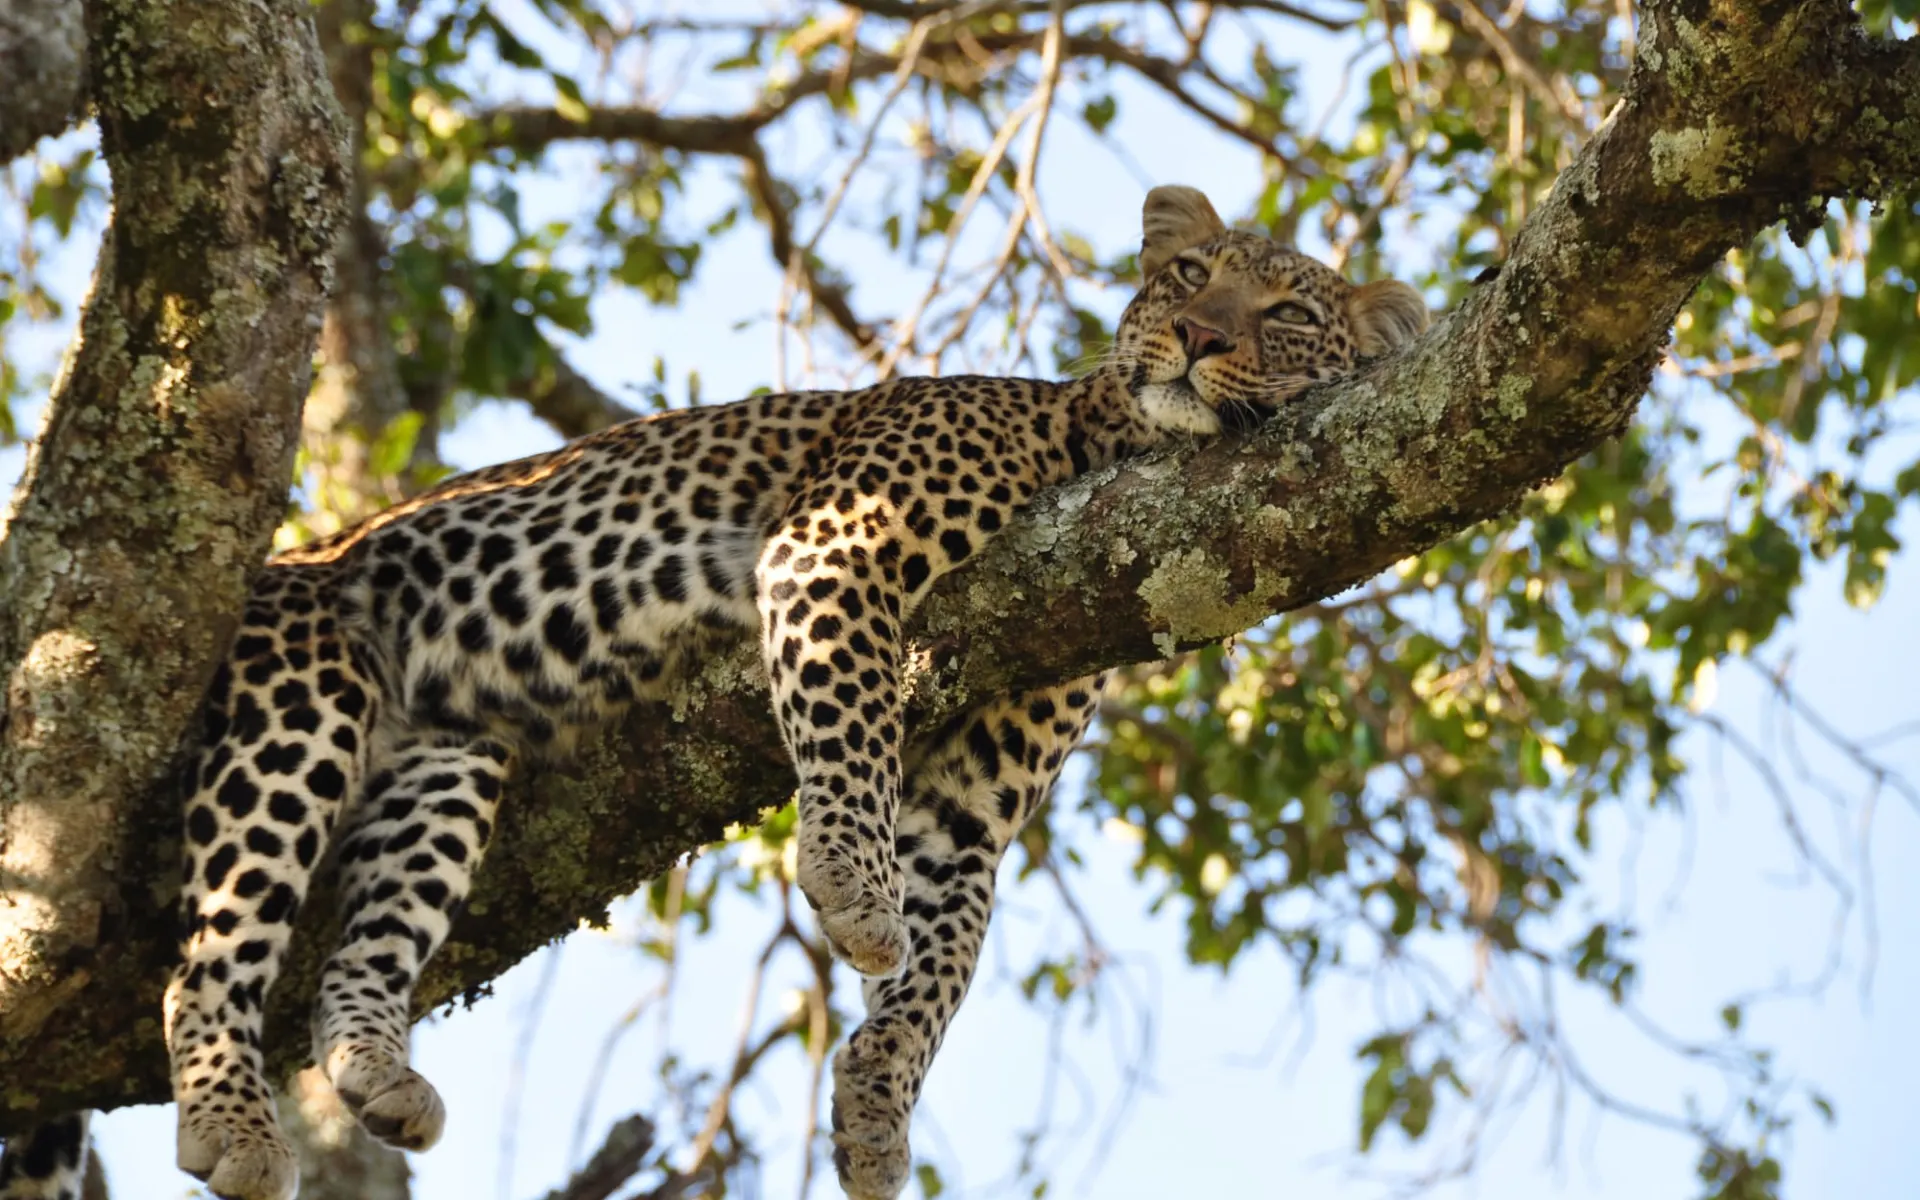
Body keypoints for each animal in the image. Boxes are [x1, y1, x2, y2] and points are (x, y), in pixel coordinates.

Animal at [3, 185, 1428, 1198]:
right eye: (1190, 277)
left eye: (1284, 317)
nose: (1195, 337)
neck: (1103, 451)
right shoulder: (835, 548)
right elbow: (850, 738)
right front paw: (849, 890)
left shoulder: (978, 800)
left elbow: (944, 969)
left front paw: (874, 1110)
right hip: (296, 691)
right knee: (211, 952)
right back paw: (234, 1124)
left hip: (444, 763)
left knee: (361, 946)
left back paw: (375, 1074)